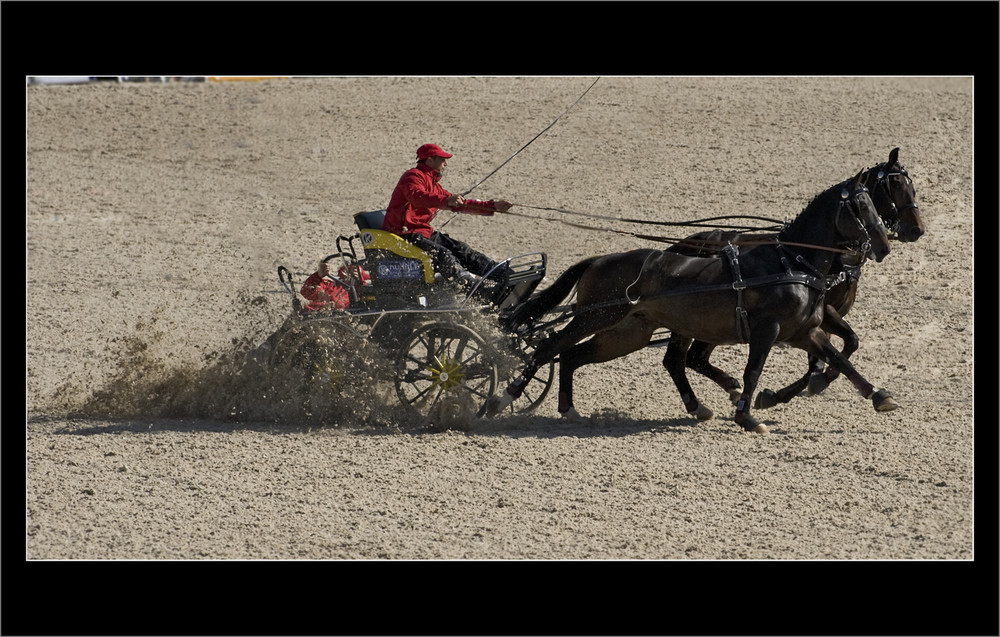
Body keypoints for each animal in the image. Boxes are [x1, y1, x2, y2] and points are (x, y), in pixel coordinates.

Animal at [490, 169, 892, 432]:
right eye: (861, 205)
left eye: (876, 203)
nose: (883, 245)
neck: (791, 261)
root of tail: (599, 260)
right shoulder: (768, 329)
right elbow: (753, 370)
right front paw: (748, 416)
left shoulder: (805, 331)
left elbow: (841, 357)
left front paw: (879, 396)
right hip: (596, 317)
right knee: (550, 347)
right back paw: (504, 397)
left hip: (628, 333)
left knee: (573, 356)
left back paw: (569, 409)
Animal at [672, 148, 920, 408]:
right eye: (896, 185)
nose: (917, 229)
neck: (800, 255)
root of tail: (687, 244)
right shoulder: (823, 311)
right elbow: (826, 356)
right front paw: (795, 388)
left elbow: (846, 345)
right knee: (684, 358)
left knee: (693, 358)